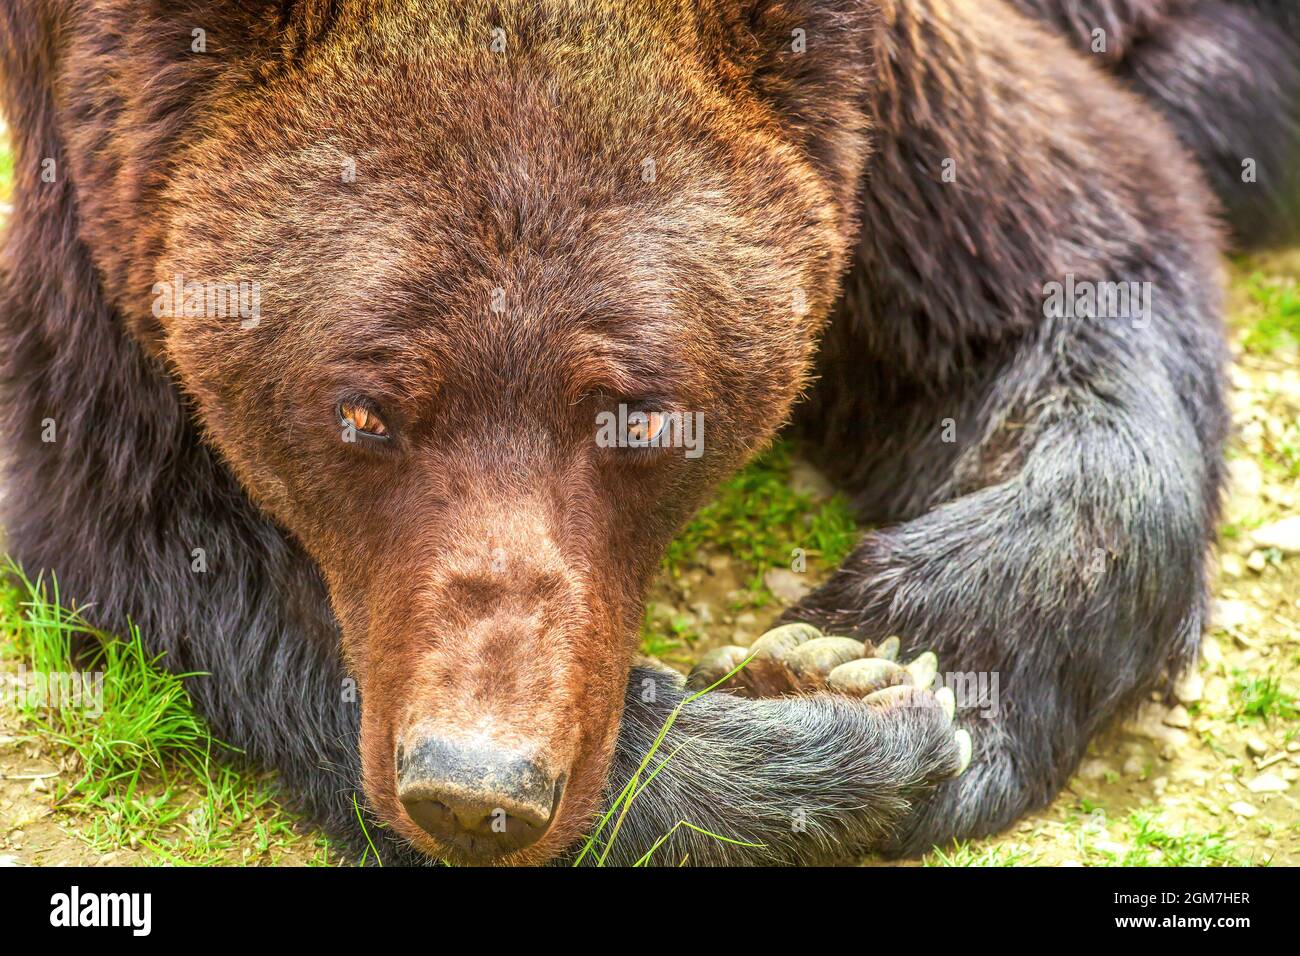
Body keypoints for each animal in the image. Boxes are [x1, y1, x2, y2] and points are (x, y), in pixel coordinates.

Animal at [0, 0, 1279, 868]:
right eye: (361, 410)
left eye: (636, 411)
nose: (475, 783)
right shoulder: (111, 188)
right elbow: (152, 512)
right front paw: (820, 732)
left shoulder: (900, 117)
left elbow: (1075, 273)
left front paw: (890, 657)